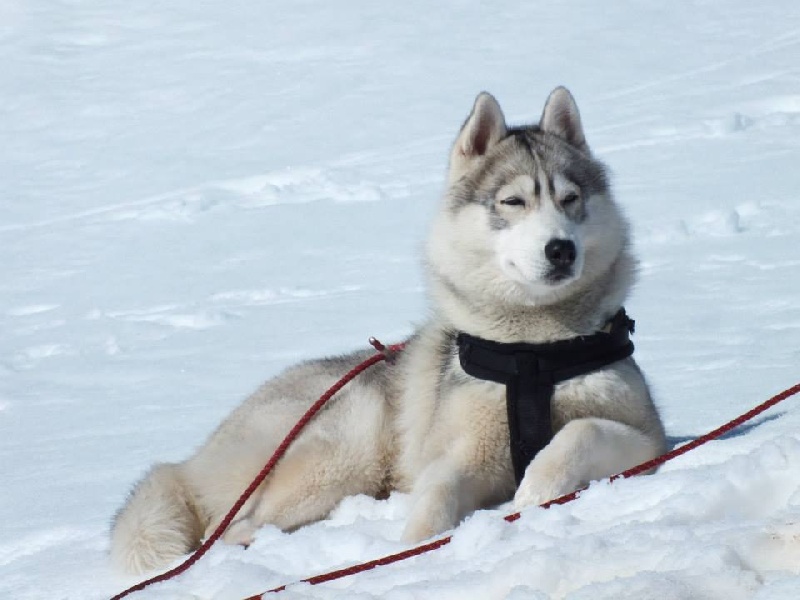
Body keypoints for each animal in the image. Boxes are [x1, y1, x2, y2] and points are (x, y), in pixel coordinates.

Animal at [110, 87, 667, 574]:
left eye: (571, 199)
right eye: (513, 203)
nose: (561, 249)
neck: (533, 352)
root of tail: (193, 459)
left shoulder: (647, 440)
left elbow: (582, 428)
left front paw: (538, 486)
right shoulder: (458, 454)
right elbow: (437, 492)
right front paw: (416, 547)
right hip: (346, 444)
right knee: (226, 529)